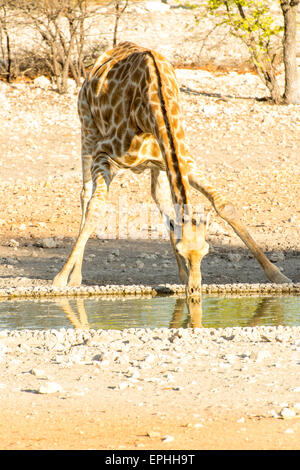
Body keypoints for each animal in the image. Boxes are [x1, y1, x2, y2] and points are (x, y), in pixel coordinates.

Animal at [52, 42, 292, 296]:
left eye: (206, 250)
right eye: (181, 251)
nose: (194, 292)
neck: (153, 105)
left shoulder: (181, 158)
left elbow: (223, 205)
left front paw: (277, 275)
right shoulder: (104, 154)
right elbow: (95, 209)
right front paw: (60, 279)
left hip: (156, 166)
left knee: (160, 199)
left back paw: (181, 276)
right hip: (87, 129)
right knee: (85, 194)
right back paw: (75, 277)